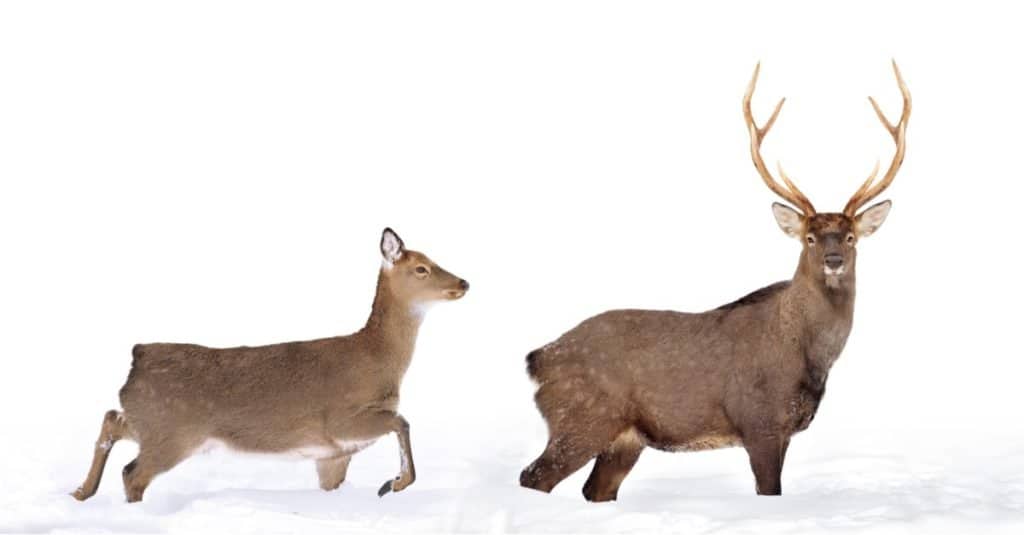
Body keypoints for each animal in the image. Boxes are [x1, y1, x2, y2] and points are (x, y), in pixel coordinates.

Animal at [71, 226, 468, 502]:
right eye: (421, 268)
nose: (464, 282)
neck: (377, 360)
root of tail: (138, 355)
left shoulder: (332, 455)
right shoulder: (340, 419)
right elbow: (403, 421)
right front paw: (393, 484)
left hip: (151, 422)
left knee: (112, 419)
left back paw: (80, 492)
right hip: (173, 431)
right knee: (132, 472)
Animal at [520, 62, 913, 500]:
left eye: (850, 237)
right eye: (809, 237)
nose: (833, 261)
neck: (808, 355)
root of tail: (537, 359)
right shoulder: (759, 421)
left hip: (624, 438)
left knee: (594, 490)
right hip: (581, 418)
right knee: (533, 477)